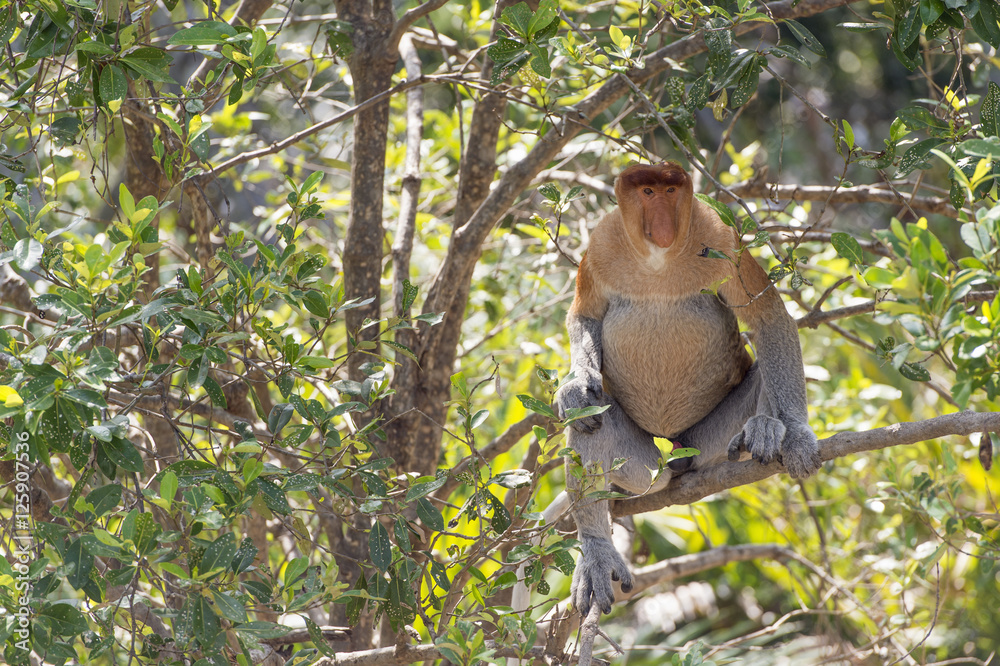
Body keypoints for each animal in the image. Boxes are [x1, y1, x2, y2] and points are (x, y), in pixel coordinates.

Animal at [550, 161, 820, 617]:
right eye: (647, 192)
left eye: (671, 191)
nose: (662, 224)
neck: (658, 260)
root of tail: (676, 450)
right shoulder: (601, 245)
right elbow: (584, 316)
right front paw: (574, 386)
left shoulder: (722, 239)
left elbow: (769, 319)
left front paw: (798, 436)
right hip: (644, 467)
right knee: (593, 419)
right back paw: (598, 551)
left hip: (707, 443)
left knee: (764, 365)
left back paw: (763, 430)